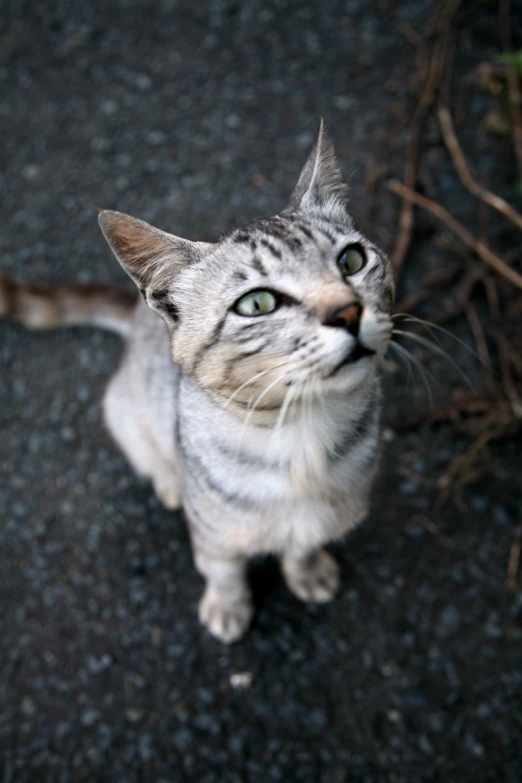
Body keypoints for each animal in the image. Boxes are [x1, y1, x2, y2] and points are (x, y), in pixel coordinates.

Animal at [0, 119, 392, 640]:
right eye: (257, 303)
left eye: (351, 261)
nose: (348, 312)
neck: (301, 436)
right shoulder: (214, 536)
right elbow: (223, 572)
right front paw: (228, 608)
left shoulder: (325, 517)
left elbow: (303, 546)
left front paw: (307, 573)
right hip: (123, 410)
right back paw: (169, 481)